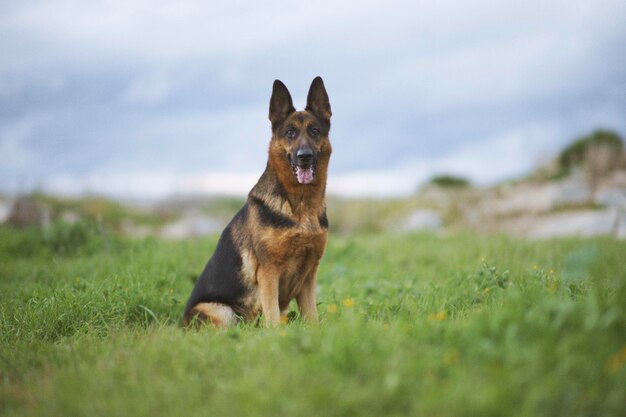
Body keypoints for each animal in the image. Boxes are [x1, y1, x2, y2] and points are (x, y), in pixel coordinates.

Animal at [183, 76, 332, 326]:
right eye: (290, 133)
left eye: (314, 131)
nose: (304, 157)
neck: (300, 208)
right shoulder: (268, 272)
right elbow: (272, 319)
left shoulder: (309, 275)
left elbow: (313, 319)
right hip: (223, 312)